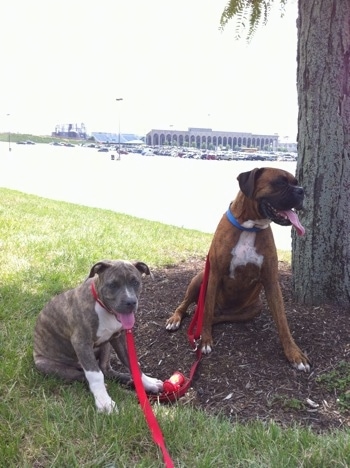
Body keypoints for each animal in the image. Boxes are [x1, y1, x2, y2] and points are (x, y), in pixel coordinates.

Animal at [33, 260, 163, 414]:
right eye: (113, 285)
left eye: (135, 282)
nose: (131, 302)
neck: (104, 308)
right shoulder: (81, 343)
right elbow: (95, 375)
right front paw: (104, 402)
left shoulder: (118, 337)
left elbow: (130, 361)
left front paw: (147, 382)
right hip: (46, 365)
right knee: (83, 375)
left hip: (106, 345)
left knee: (105, 369)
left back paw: (126, 379)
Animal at [165, 166, 310, 372]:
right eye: (280, 183)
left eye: (296, 182)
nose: (301, 191)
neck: (249, 227)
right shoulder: (214, 275)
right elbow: (206, 310)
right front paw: (206, 340)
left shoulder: (271, 281)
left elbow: (282, 321)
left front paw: (294, 354)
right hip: (200, 278)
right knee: (189, 306)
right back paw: (176, 319)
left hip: (254, 307)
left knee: (216, 315)